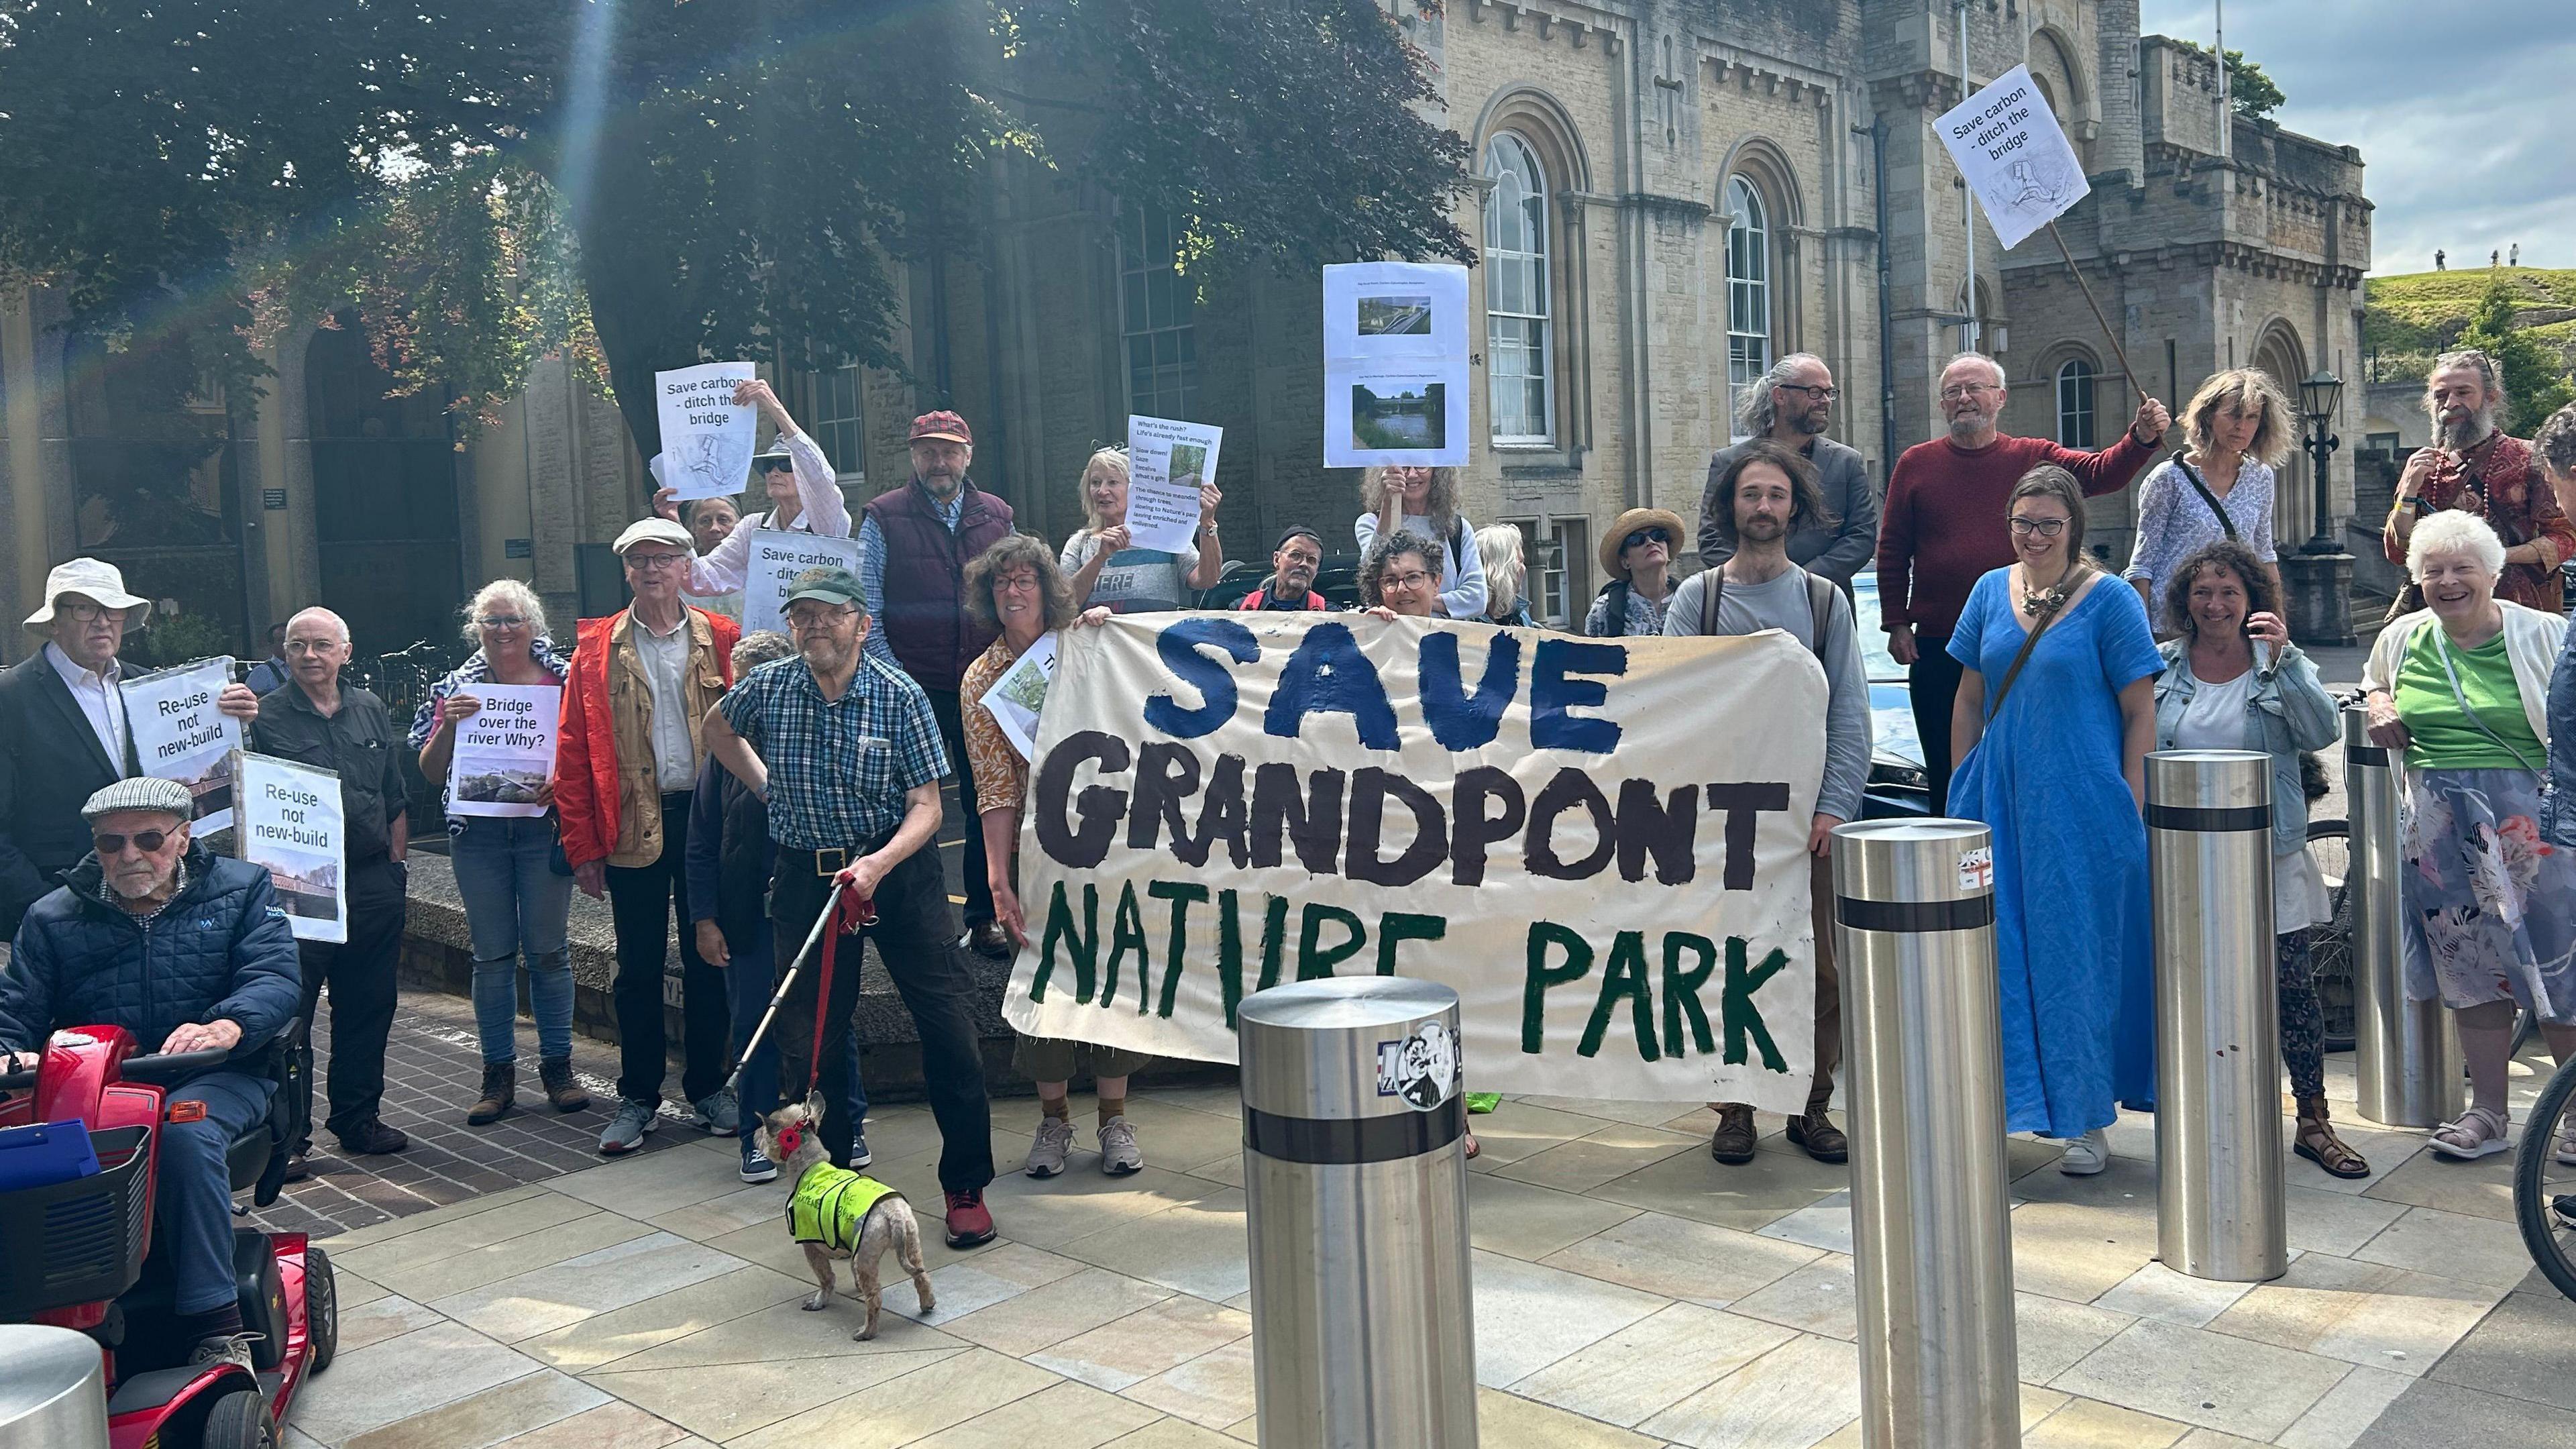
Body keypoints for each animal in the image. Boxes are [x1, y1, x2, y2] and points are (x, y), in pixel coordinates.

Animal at [762, 1093, 937, 1330]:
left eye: (763, 1131)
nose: (755, 1136)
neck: (811, 1166)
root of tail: (894, 1215)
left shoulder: (810, 1245)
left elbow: (826, 1278)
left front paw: (819, 1302)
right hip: (911, 1244)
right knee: (922, 1276)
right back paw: (927, 1304)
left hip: (865, 1257)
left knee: (874, 1298)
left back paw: (867, 1331)